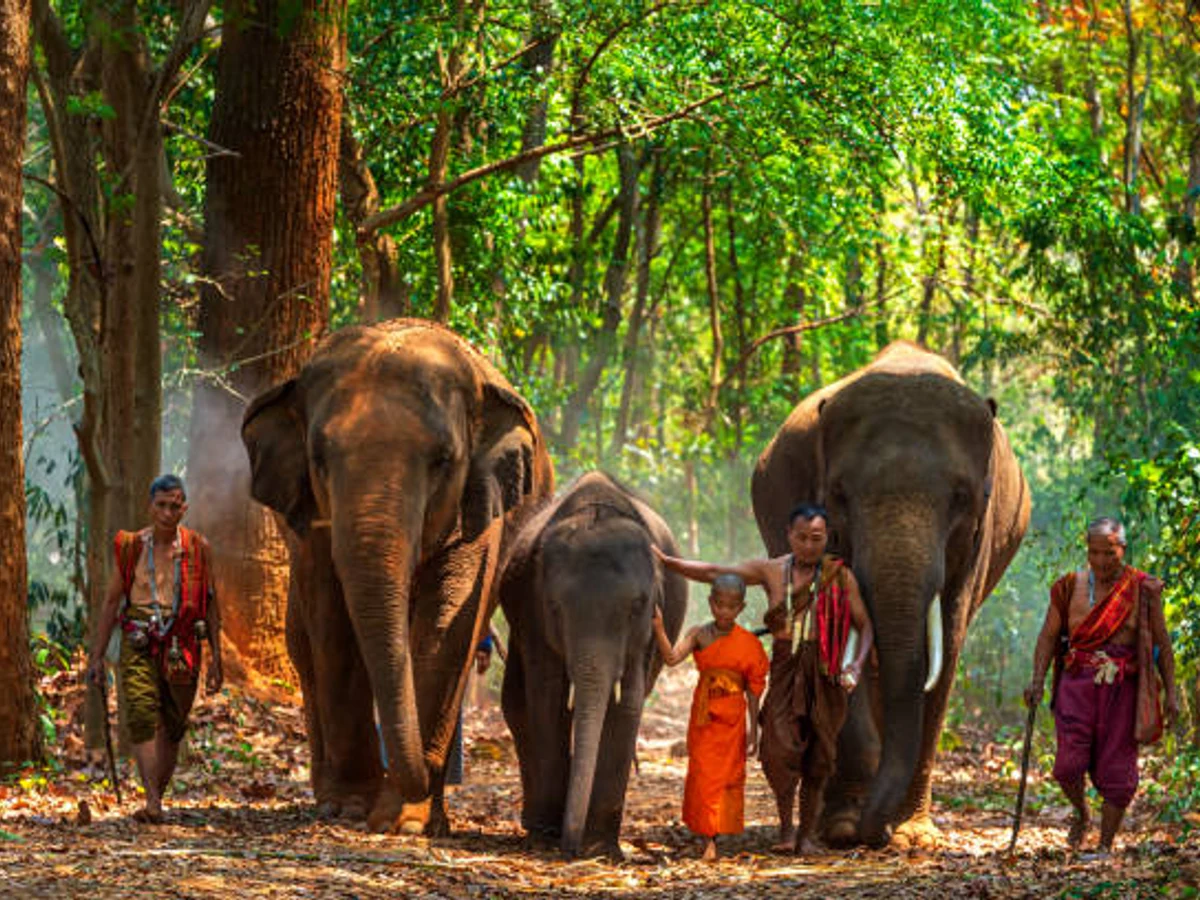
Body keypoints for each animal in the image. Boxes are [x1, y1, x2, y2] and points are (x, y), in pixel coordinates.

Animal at [241, 319, 554, 834]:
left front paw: (404, 821)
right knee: (305, 648)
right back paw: (330, 798)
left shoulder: (480, 507)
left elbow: (448, 623)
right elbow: (333, 623)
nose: (425, 772)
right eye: (319, 458)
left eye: (443, 459)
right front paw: (352, 808)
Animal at [497, 471, 688, 857]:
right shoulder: (533, 612)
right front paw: (549, 838)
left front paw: (600, 849)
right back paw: (536, 826)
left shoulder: (647, 632)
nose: (569, 848)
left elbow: (628, 702)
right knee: (517, 704)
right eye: (555, 607)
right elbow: (548, 699)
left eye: (637, 605)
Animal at [751, 340, 1030, 849]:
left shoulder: (977, 545)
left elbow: (947, 645)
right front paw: (846, 828)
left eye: (965, 496)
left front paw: (912, 835)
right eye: (838, 494)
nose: (875, 833)